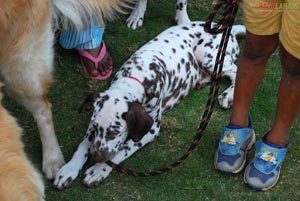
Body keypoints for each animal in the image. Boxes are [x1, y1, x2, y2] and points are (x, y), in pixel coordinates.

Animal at [54, 21, 245, 189]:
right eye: (95, 128)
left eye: (114, 132)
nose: (95, 157)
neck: (137, 76)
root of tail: (227, 28)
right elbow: (83, 145)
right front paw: (69, 169)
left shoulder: (150, 129)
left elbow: (121, 151)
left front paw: (99, 170)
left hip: (207, 56)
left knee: (235, 71)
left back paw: (228, 95)